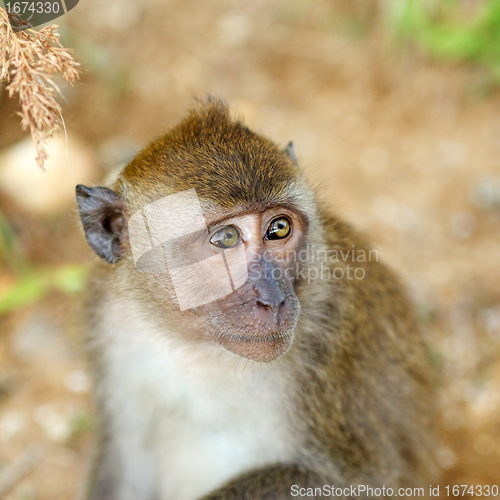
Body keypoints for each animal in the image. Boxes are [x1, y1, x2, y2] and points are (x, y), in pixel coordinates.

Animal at [76, 98, 436, 500]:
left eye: (278, 228)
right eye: (226, 238)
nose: (273, 300)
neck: (199, 348)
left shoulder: (334, 332)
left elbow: (363, 480)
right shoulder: (112, 325)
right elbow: (125, 468)